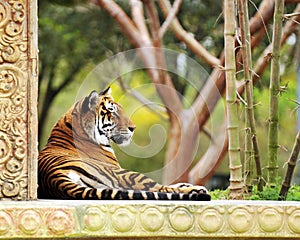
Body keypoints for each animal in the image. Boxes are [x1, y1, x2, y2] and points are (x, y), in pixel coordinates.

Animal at [38, 86, 211, 201]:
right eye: (112, 111)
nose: (133, 128)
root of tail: (55, 178)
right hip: (127, 174)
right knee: (160, 188)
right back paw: (197, 190)